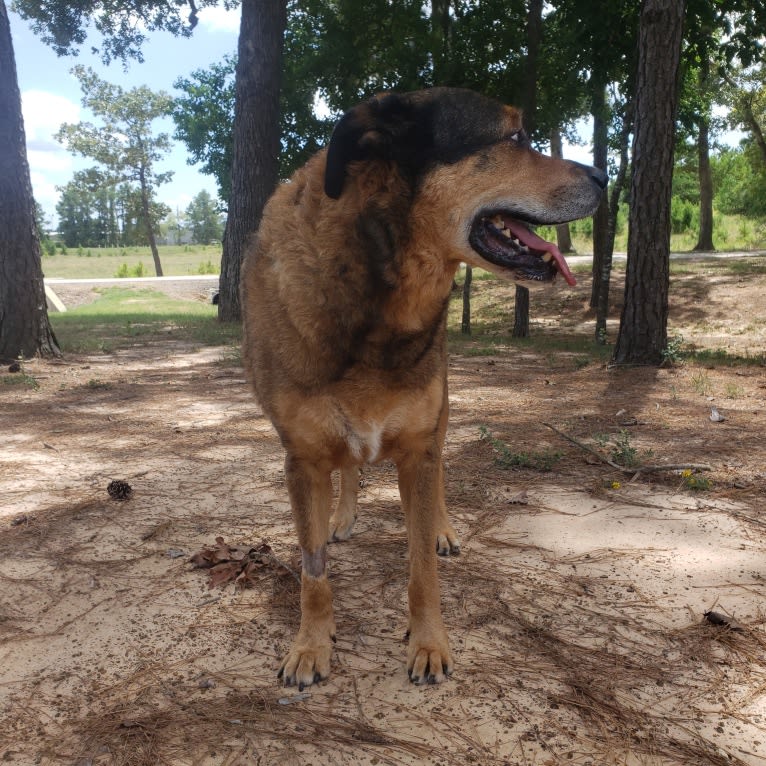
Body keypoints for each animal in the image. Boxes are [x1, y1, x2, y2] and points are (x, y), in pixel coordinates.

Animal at [240, 87, 608, 692]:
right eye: (514, 137)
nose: (605, 176)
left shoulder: (418, 445)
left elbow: (421, 569)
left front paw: (429, 642)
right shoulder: (302, 459)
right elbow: (313, 572)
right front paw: (311, 647)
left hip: (440, 417)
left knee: (435, 481)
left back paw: (440, 527)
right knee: (350, 472)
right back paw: (343, 517)